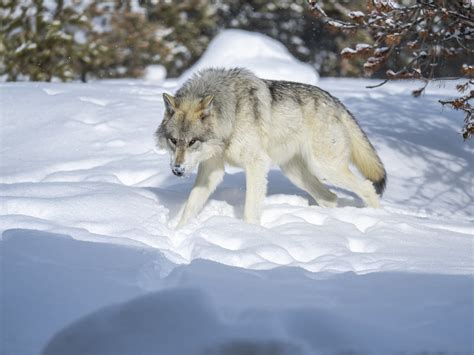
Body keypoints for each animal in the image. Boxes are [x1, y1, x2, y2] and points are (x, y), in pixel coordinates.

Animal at [156, 68, 386, 227]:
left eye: (192, 142)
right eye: (174, 141)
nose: (177, 170)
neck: (232, 114)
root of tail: (337, 102)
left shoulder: (256, 164)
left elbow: (250, 209)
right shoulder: (211, 169)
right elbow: (189, 207)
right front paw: (178, 233)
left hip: (326, 169)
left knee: (367, 187)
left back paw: (378, 218)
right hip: (296, 174)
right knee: (330, 198)